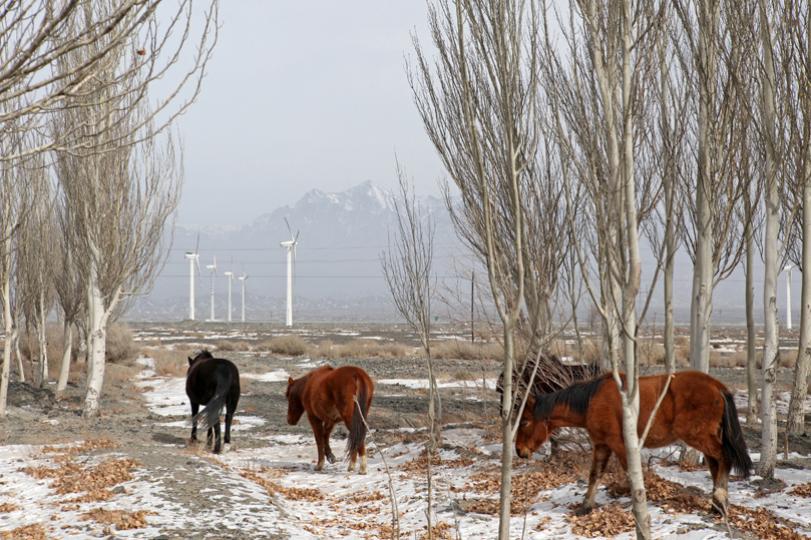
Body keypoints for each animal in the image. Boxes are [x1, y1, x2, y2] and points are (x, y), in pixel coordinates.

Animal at [516, 372, 752, 516]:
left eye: (525, 421)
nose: (519, 451)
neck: (593, 400)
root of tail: (717, 386)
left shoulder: (619, 446)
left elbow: (631, 475)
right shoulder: (602, 445)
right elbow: (595, 475)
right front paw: (586, 506)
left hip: (700, 437)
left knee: (724, 459)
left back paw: (719, 501)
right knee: (715, 464)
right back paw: (717, 505)